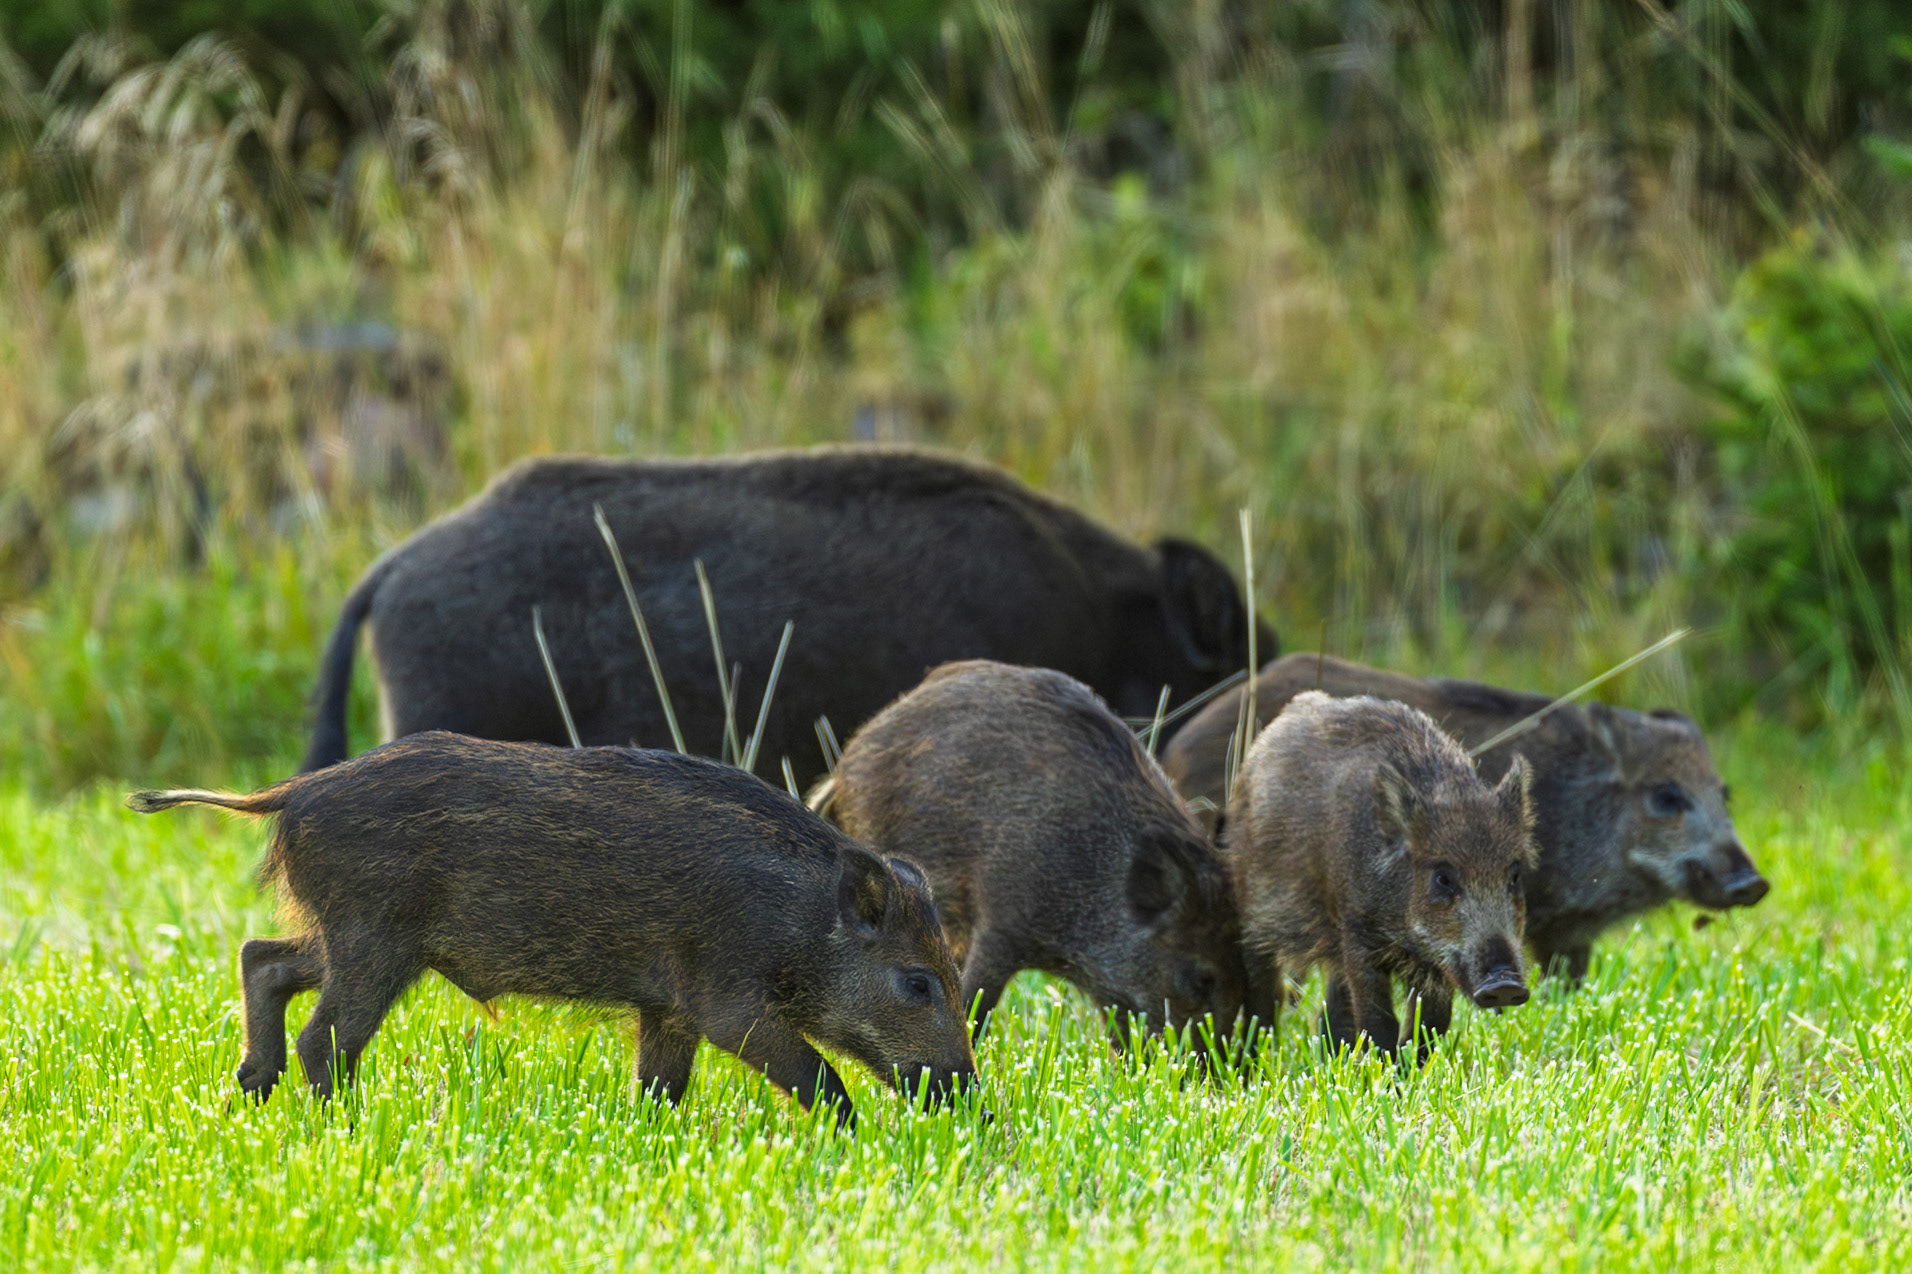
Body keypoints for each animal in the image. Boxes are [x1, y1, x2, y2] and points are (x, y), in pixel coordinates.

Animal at [127, 732, 976, 1128]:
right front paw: (852, 1138)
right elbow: (821, 1077)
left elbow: (660, 1090)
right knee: (324, 1040)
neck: (800, 918)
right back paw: (346, 1125)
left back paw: (250, 1089)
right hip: (375, 941)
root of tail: (292, 792)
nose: (975, 1102)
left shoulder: (666, 1008)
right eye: (918, 982)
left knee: (262, 959)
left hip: (354, 938)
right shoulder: (725, 999)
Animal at [1228, 692, 1539, 1059]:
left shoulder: (1434, 963)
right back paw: (1249, 1059)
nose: (1505, 984)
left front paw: (1407, 1068)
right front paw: (1386, 1068)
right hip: (1254, 910)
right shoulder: (1357, 933)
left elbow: (1432, 1023)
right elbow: (1379, 1022)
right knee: (1263, 994)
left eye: (1514, 875)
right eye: (1443, 878)